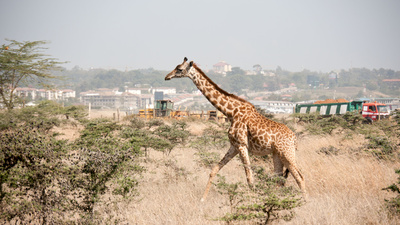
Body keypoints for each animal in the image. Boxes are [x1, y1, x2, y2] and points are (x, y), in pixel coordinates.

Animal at [164, 57, 304, 201]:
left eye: (179, 69)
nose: (167, 76)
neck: (231, 112)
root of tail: (294, 139)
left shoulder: (242, 145)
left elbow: (249, 178)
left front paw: (253, 201)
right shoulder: (234, 146)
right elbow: (214, 170)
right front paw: (203, 199)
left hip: (286, 152)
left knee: (300, 177)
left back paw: (305, 201)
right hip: (277, 154)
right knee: (279, 178)